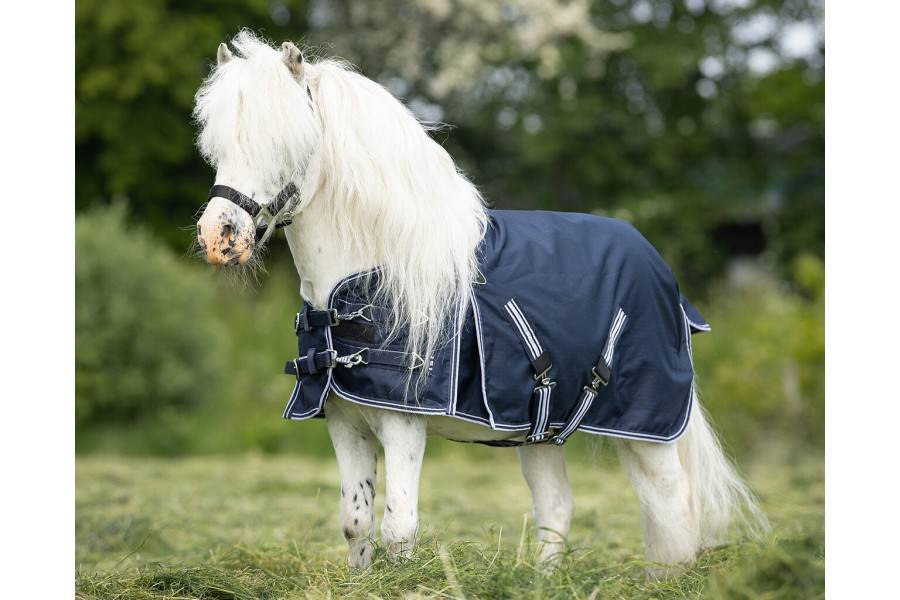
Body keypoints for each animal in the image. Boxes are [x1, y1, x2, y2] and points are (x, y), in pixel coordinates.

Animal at [193, 31, 767, 575]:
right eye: (217, 146)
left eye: (285, 142)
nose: (219, 236)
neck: (377, 273)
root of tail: (661, 271)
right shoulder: (344, 419)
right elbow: (355, 523)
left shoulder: (404, 422)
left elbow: (400, 528)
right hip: (543, 432)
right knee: (558, 508)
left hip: (651, 430)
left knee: (672, 505)